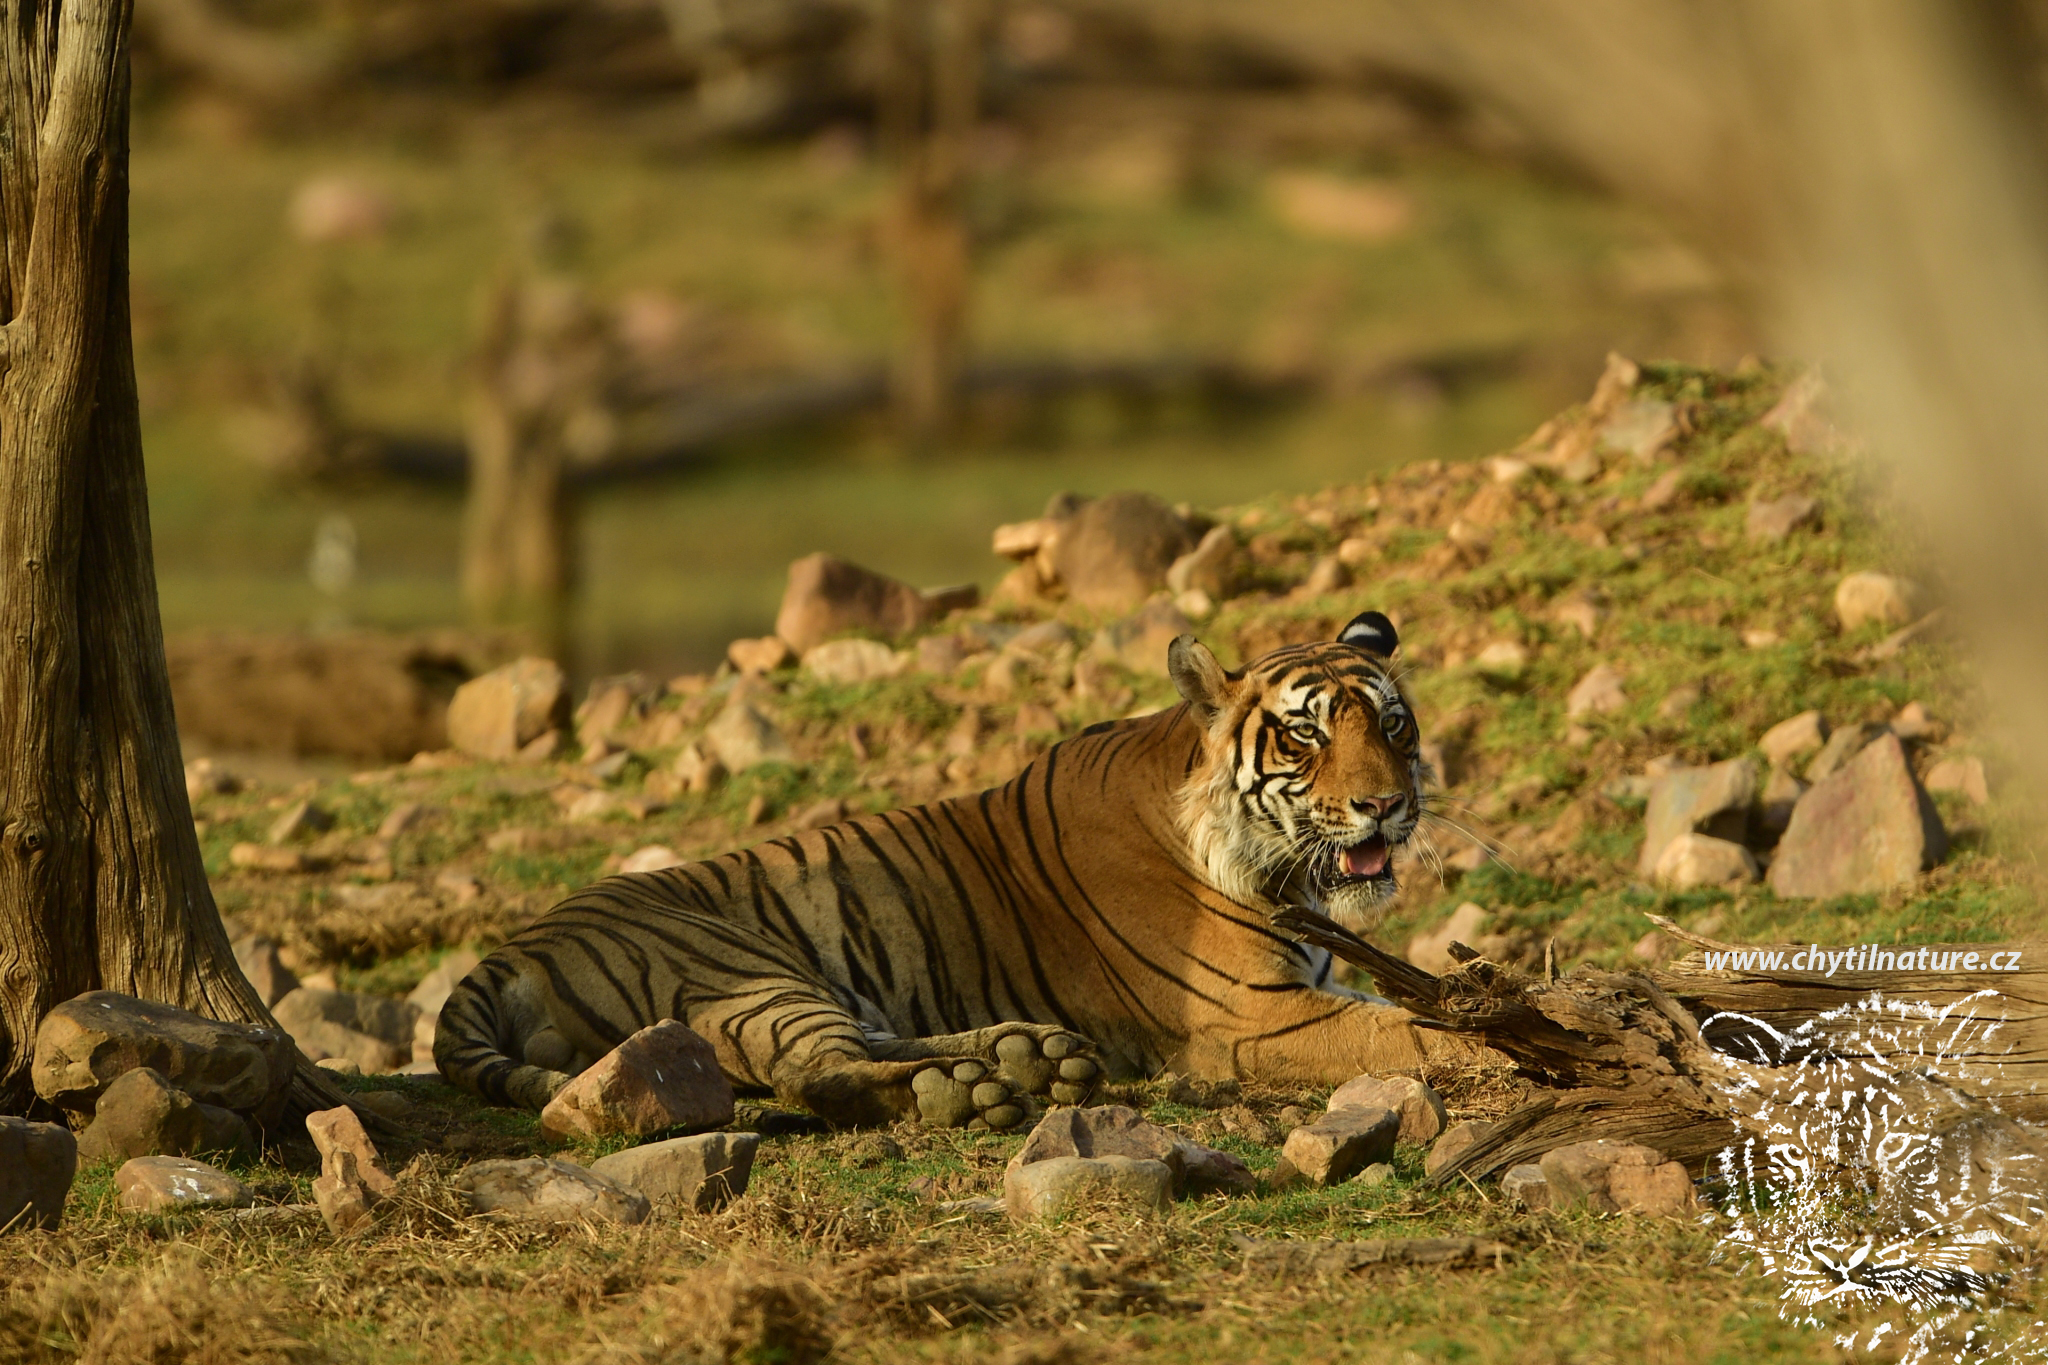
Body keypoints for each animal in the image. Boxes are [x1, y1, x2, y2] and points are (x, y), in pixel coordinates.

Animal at [435, 609, 1491, 1130]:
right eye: (1307, 734)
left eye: (1393, 725)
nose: (1385, 805)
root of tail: (502, 954)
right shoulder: (1258, 1020)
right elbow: (1413, 1033)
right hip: (743, 967)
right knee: (820, 1074)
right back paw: (974, 1091)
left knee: (852, 1047)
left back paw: (1025, 1057)